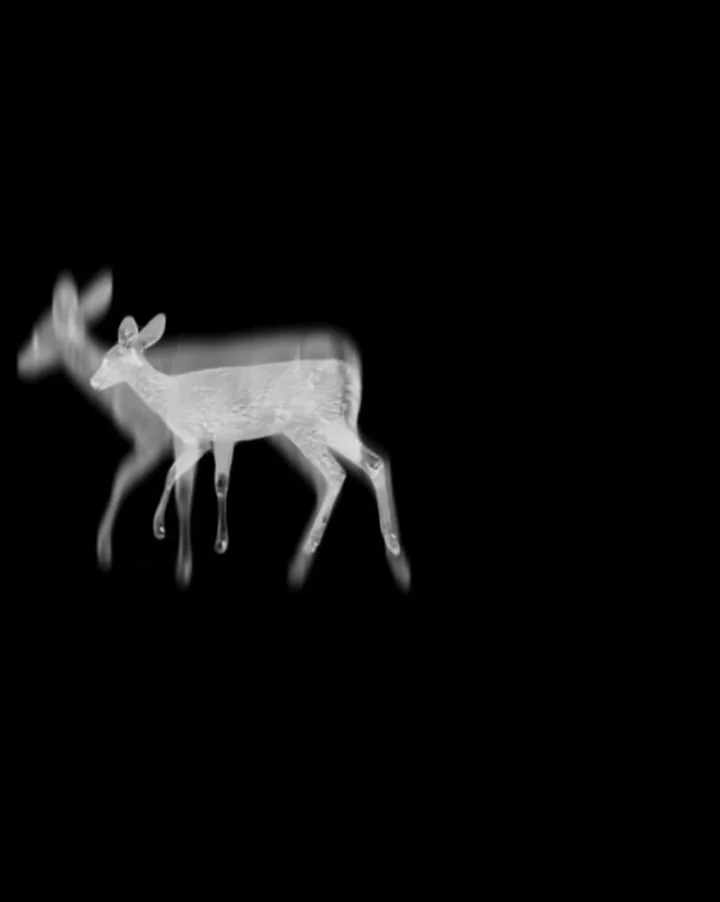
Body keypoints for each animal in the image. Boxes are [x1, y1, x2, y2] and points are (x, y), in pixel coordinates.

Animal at [89, 309, 411, 591]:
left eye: (108, 359)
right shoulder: (218, 437)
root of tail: (349, 372)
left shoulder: (201, 435)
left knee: (336, 472)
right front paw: (187, 536)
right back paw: (392, 546)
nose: (93, 381)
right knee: (373, 462)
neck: (169, 394)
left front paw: (193, 538)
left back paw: (308, 551)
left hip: (307, 426)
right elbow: (203, 479)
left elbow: (190, 479)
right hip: (331, 424)